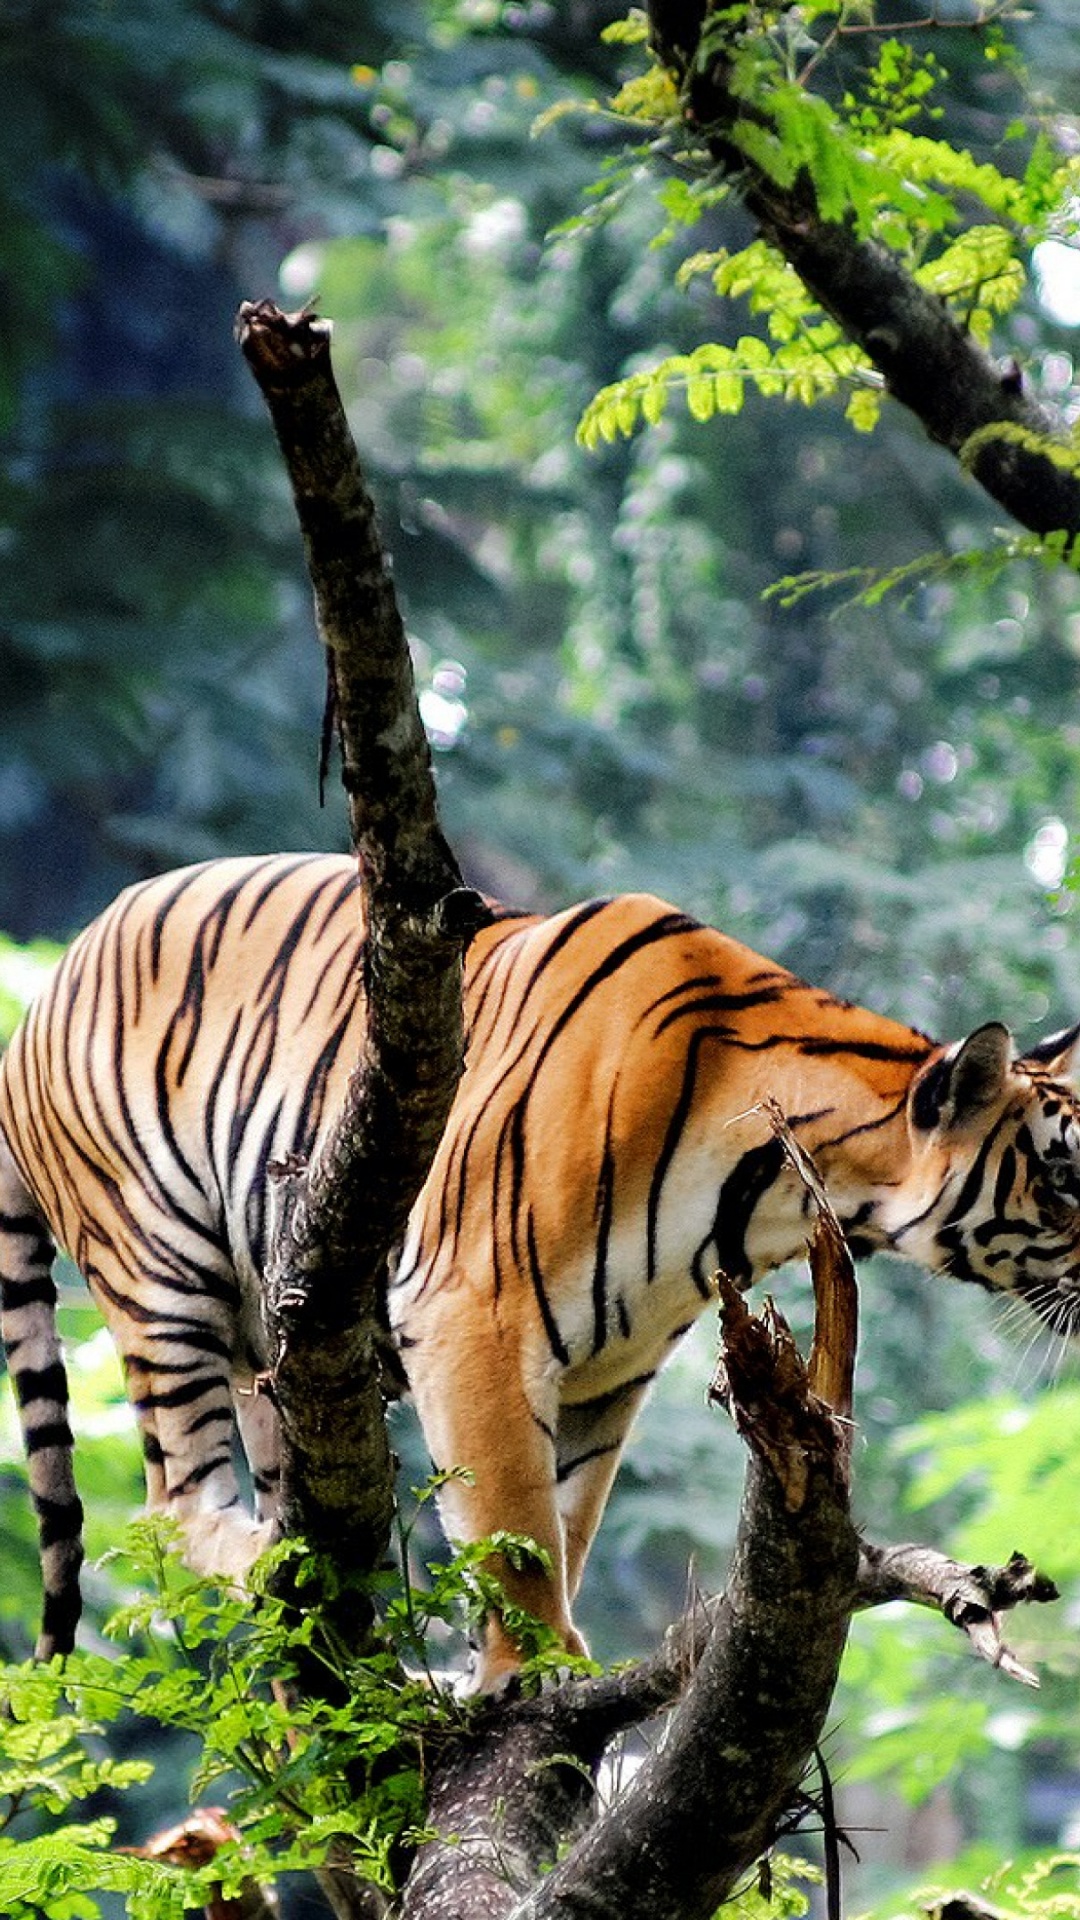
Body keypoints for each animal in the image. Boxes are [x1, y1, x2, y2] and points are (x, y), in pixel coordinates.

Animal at [1, 851, 1079, 1689]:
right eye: (1068, 1177)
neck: (771, 1192)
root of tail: (42, 992)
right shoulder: (474, 1310)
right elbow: (513, 1522)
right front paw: (537, 1668)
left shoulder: (611, 1366)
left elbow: (564, 1516)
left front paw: (504, 1669)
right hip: (159, 1268)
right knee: (172, 1506)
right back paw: (270, 1558)